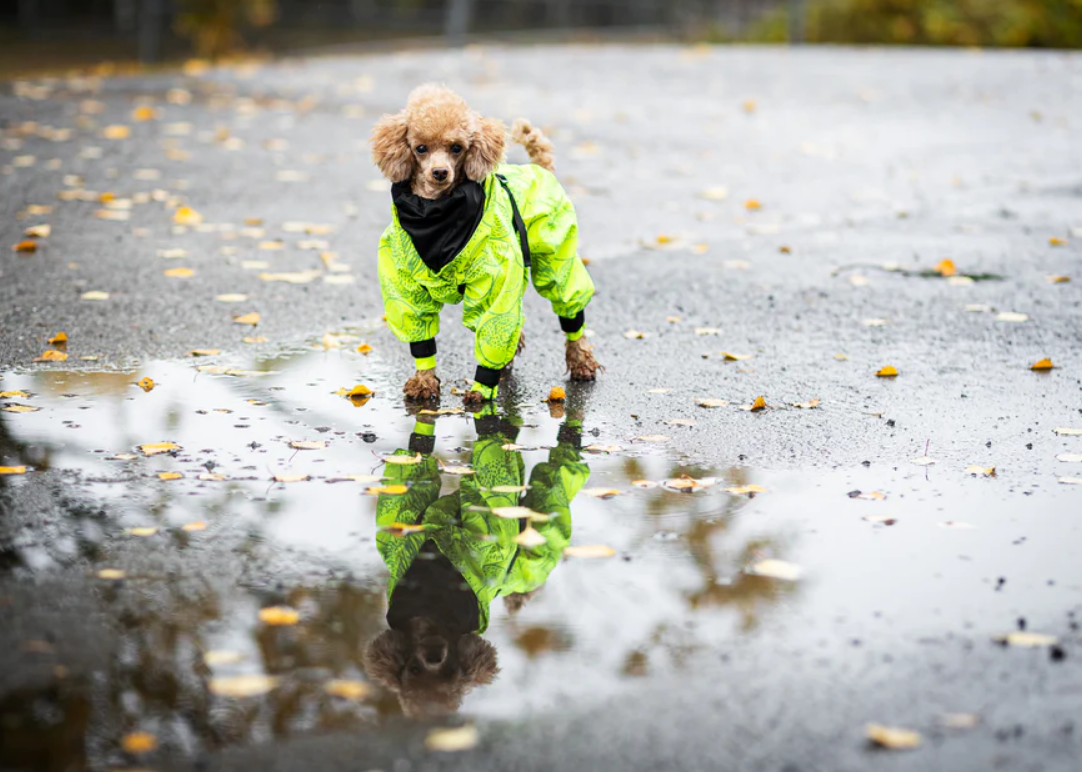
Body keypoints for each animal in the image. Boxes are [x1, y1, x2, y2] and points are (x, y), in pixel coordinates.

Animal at [374, 84, 605, 407]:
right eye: (420, 148)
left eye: (456, 147)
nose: (440, 173)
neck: (437, 218)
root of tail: (541, 168)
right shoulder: (405, 286)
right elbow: (419, 330)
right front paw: (423, 381)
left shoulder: (495, 277)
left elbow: (492, 323)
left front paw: (482, 388)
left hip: (556, 258)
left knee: (569, 308)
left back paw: (581, 361)